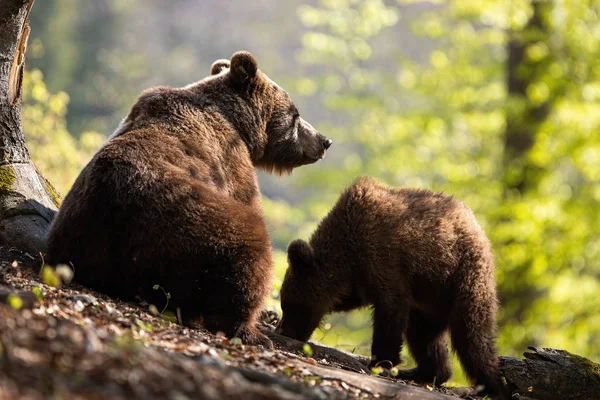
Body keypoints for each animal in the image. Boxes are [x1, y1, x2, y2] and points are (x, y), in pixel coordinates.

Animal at [45, 52, 332, 346]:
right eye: (296, 115)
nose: (324, 141)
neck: (239, 124)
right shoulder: (231, 161)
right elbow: (247, 199)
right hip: (184, 228)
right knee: (250, 249)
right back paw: (250, 329)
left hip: (84, 232)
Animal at [278, 177, 508, 398]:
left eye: (288, 305)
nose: (283, 330)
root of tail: (477, 226)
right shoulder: (360, 276)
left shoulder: (384, 257)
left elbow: (390, 308)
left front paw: (379, 361)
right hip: (430, 299)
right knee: (422, 335)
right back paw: (423, 372)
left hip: (463, 275)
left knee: (471, 333)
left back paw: (489, 386)